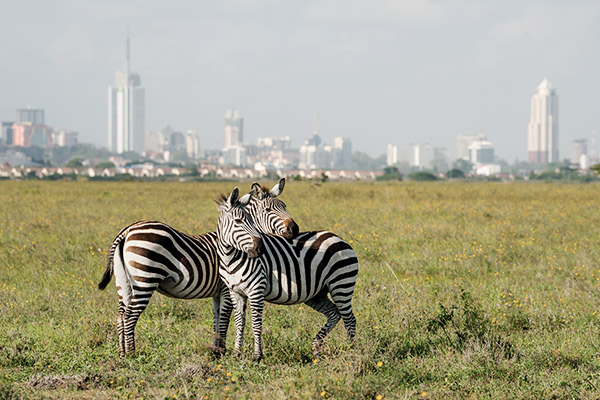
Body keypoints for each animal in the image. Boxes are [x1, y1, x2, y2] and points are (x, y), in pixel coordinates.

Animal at [96, 178, 300, 356]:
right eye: (268, 209)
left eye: (284, 206)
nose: (295, 229)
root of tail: (127, 231)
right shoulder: (226, 289)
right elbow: (224, 319)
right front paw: (221, 352)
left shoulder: (218, 292)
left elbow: (217, 319)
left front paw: (216, 350)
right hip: (145, 279)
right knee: (130, 316)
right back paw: (132, 354)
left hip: (124, 282)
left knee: (121, 314)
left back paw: (122, 353)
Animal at [214, 188, 356, 362]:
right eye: (238, 221)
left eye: (252, 221)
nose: (260, 248)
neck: (230, 259)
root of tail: (338, 237)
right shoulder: (235, 292)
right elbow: (239, 323)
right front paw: (236, 354)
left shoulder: (256, 290)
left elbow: (256, 324)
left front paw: (257, 356)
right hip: (317, 294)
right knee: (334, 313)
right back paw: (317, 349)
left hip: (342, 284)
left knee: (349, 319)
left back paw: (353, 352)